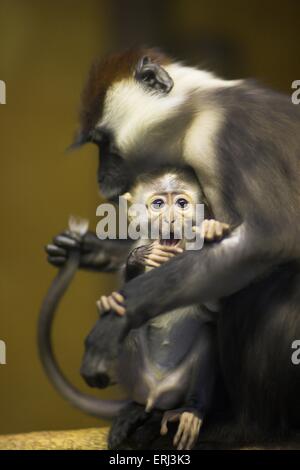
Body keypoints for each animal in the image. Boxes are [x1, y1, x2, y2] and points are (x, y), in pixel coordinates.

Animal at [94, 167, 230, 450]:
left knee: (207, 334)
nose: (170, 219)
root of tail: (156, 393)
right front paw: (137, 259)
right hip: (138, 381)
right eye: (158, 204)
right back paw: (135, 409)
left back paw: (190, 411)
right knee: (129, 330)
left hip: (177, 387)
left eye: (181, 204)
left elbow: (213, 309)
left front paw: (210, 231)